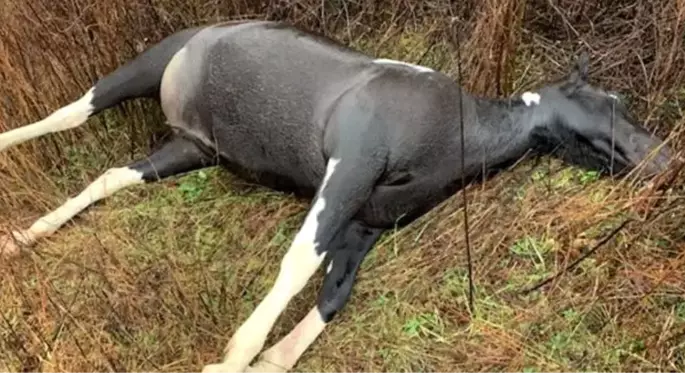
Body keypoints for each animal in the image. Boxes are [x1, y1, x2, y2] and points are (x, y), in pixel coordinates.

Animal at [0, 19, 672, 372]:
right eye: (605, 102)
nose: (665, 160)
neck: (454, 132)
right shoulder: (347, 171)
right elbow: (300, 264)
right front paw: (232, 358)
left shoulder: (366, 225)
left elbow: (333, 295)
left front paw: (270, 359)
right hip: (139, 71)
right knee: (67, 115)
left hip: (191, 148)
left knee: (112, 176)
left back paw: (26, 235)